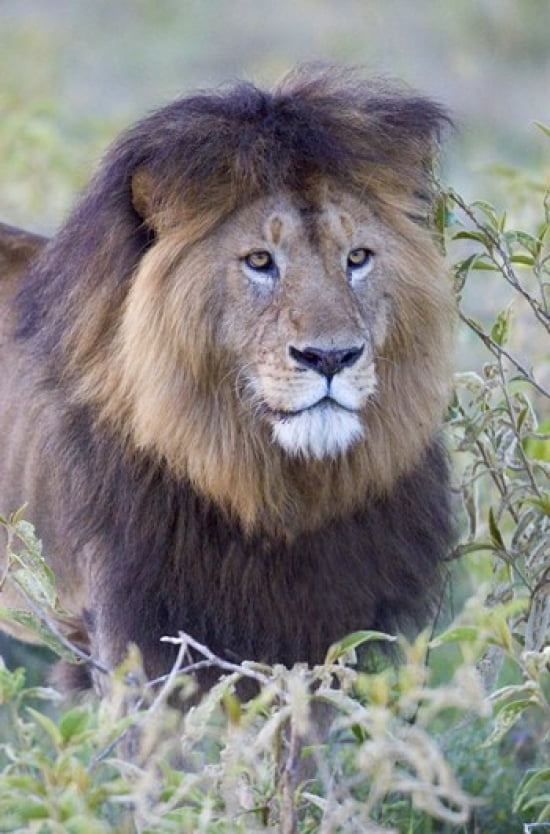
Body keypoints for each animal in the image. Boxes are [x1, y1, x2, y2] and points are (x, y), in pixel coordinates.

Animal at [0, 65, 454, 694]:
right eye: (260, 261)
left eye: (358, 257)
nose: (331, 357)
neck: (267, 489)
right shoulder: (128, 635)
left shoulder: (324, 629)